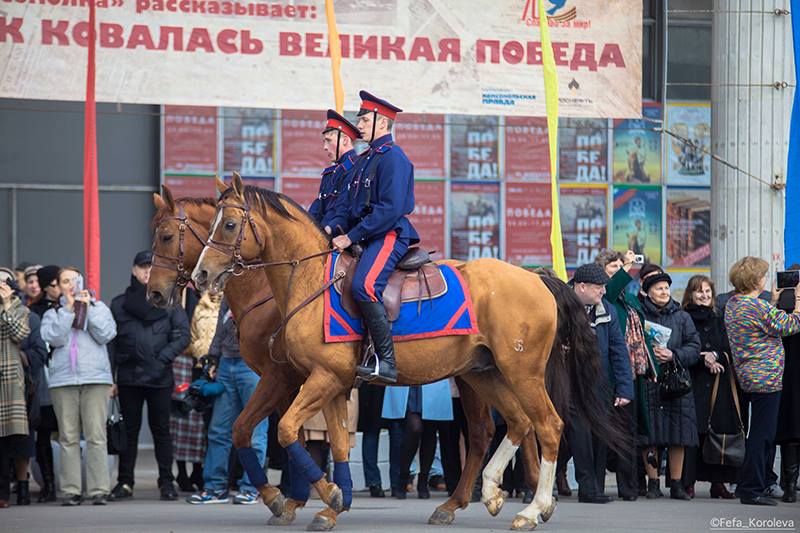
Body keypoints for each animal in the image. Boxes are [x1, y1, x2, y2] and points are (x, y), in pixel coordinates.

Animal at [191, 174, 620, 528]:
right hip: (484, 373)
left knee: (547, 425)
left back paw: (532, 509)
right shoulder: (330, 383)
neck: (311, 281)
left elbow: (284, 430)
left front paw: (327, 496)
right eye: (210, 224)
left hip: (522, 372)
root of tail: (537, 277)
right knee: (515, 424)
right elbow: (334, 442)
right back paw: (485, 494)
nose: (200, 274)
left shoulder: (321, 379)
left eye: (229, 224)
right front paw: (332, 504)